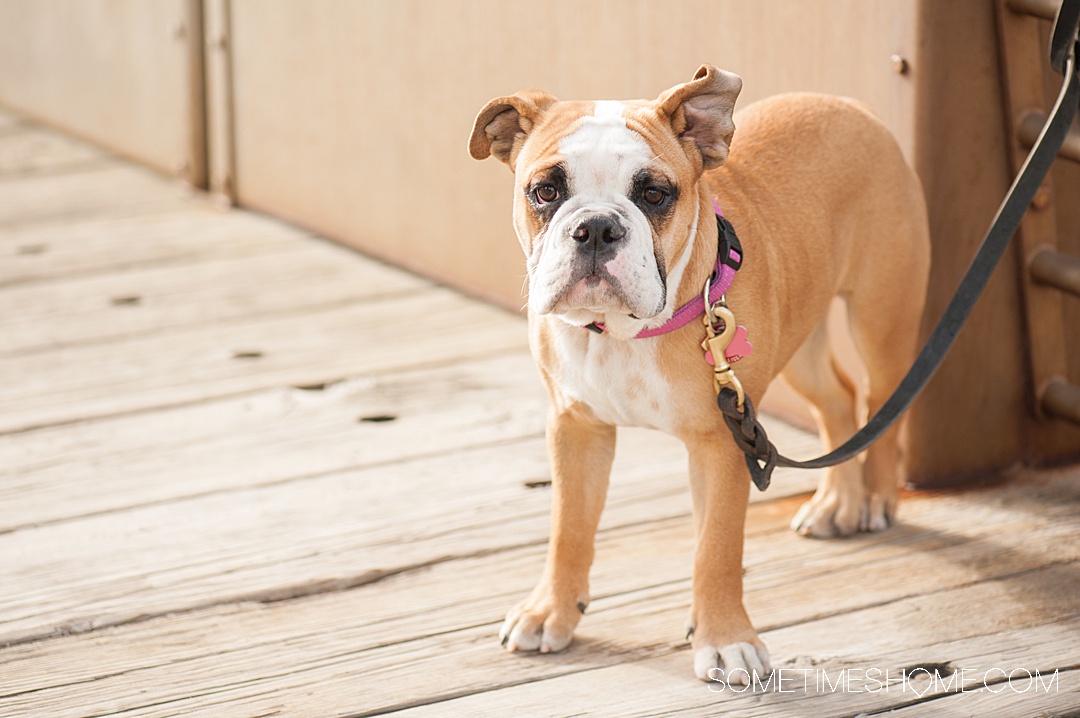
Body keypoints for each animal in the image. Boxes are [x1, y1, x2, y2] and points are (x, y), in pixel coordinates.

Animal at [468, 64, 933, 682]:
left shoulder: (724, 440)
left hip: (881, 318)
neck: (622, 332)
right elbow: (569, 528)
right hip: (798, 343)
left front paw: (726, 638)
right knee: (838, 397)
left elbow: (716, 548)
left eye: (654, 194)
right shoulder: (577, 428)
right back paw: (838, 500)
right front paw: (552, 612)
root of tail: (849, 106)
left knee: (881, 399)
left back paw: (876, 498)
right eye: (545, 191)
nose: (595, 228)